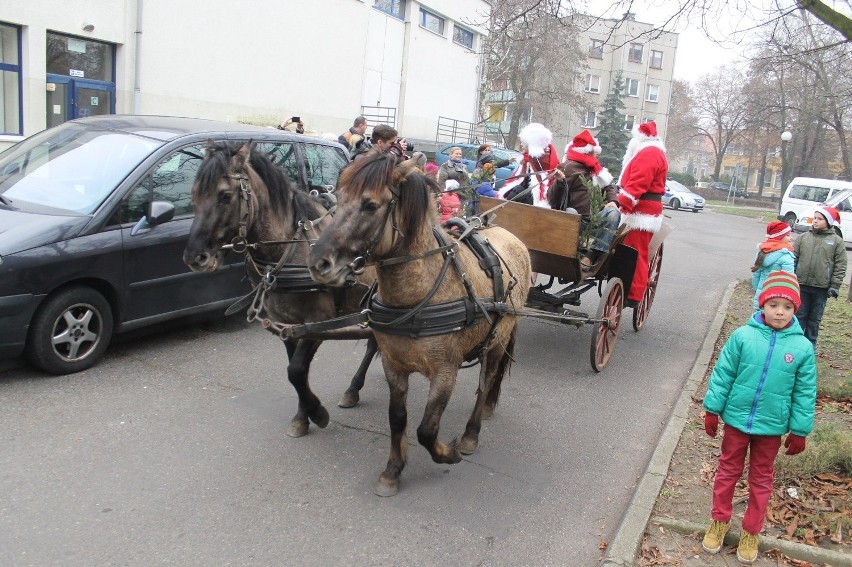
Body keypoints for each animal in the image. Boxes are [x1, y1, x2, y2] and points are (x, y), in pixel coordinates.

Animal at [185, 142, 378, 440]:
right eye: (194, 194)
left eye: (225, 196)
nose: (195, 257)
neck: (290, 251)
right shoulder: (287, 324)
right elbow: (296, 371)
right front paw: (302, 417)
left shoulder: (317, 323)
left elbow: (296, 370)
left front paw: (317, 413)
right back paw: (353, 390)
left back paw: (354, 388)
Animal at [306, 153, 532, 494]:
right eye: (339, 198)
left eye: (370, 205)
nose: (319, 262)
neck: (419, 292)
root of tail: (512, 238)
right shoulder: (394, 366)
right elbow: (397, 418)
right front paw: (393, 470)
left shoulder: (445, 372)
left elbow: (426, 429)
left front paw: (449, 453)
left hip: (498, 336)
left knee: (488, 378)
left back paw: (471, 432)